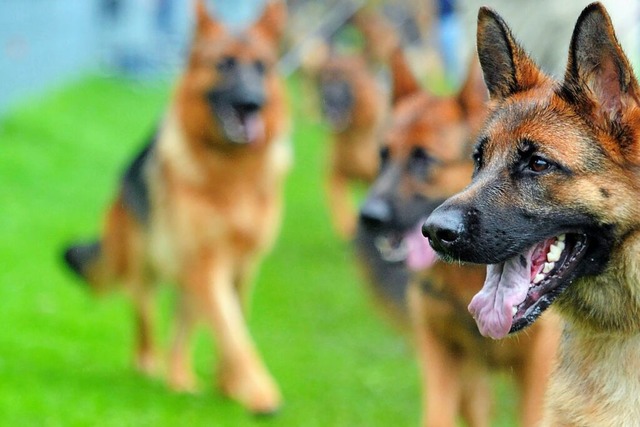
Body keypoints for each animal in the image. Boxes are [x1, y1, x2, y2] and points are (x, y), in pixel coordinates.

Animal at [63, 0, 290, 414]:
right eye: (224, 64)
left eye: (262, 66)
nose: (252, 104)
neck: (231, 174)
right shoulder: (208, 261)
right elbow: (233, 332)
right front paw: (259, 393)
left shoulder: (244, 265)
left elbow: (235, 324)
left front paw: (230, 387)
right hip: (146, 268)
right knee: (146, 319)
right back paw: (152, 367)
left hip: (187, 275)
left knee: (184, 328)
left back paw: (180, 378)